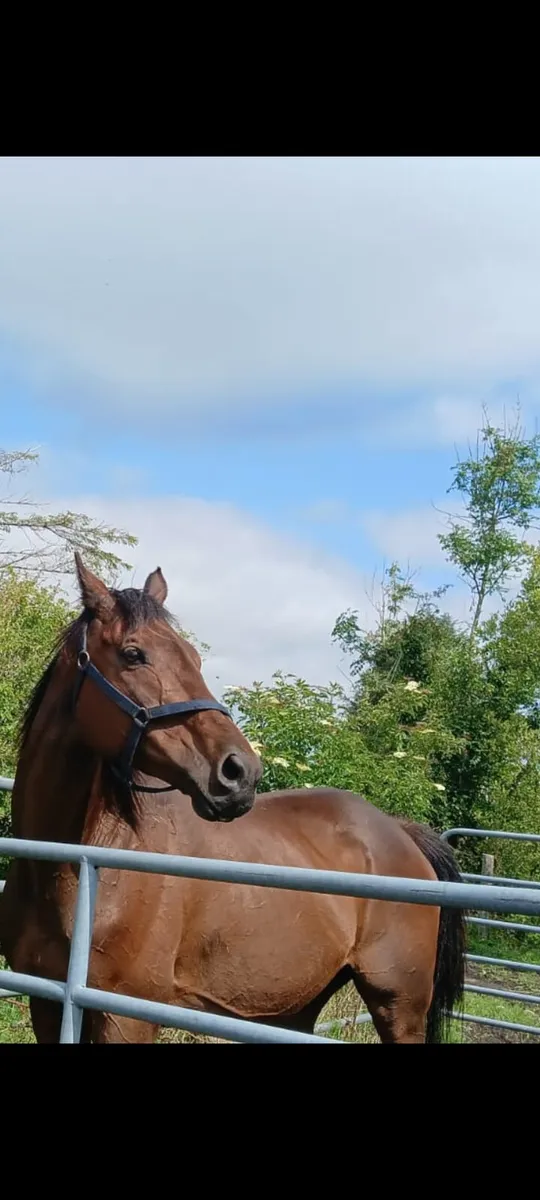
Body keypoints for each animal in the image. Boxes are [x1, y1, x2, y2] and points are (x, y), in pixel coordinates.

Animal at [0, 554, 465, 1044]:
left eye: (195, 657)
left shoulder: (127, 1014)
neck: (83, 867)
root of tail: (401, 832)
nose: (241, 772)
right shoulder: (47, 1002)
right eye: (132, 654)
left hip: (400, 1008)